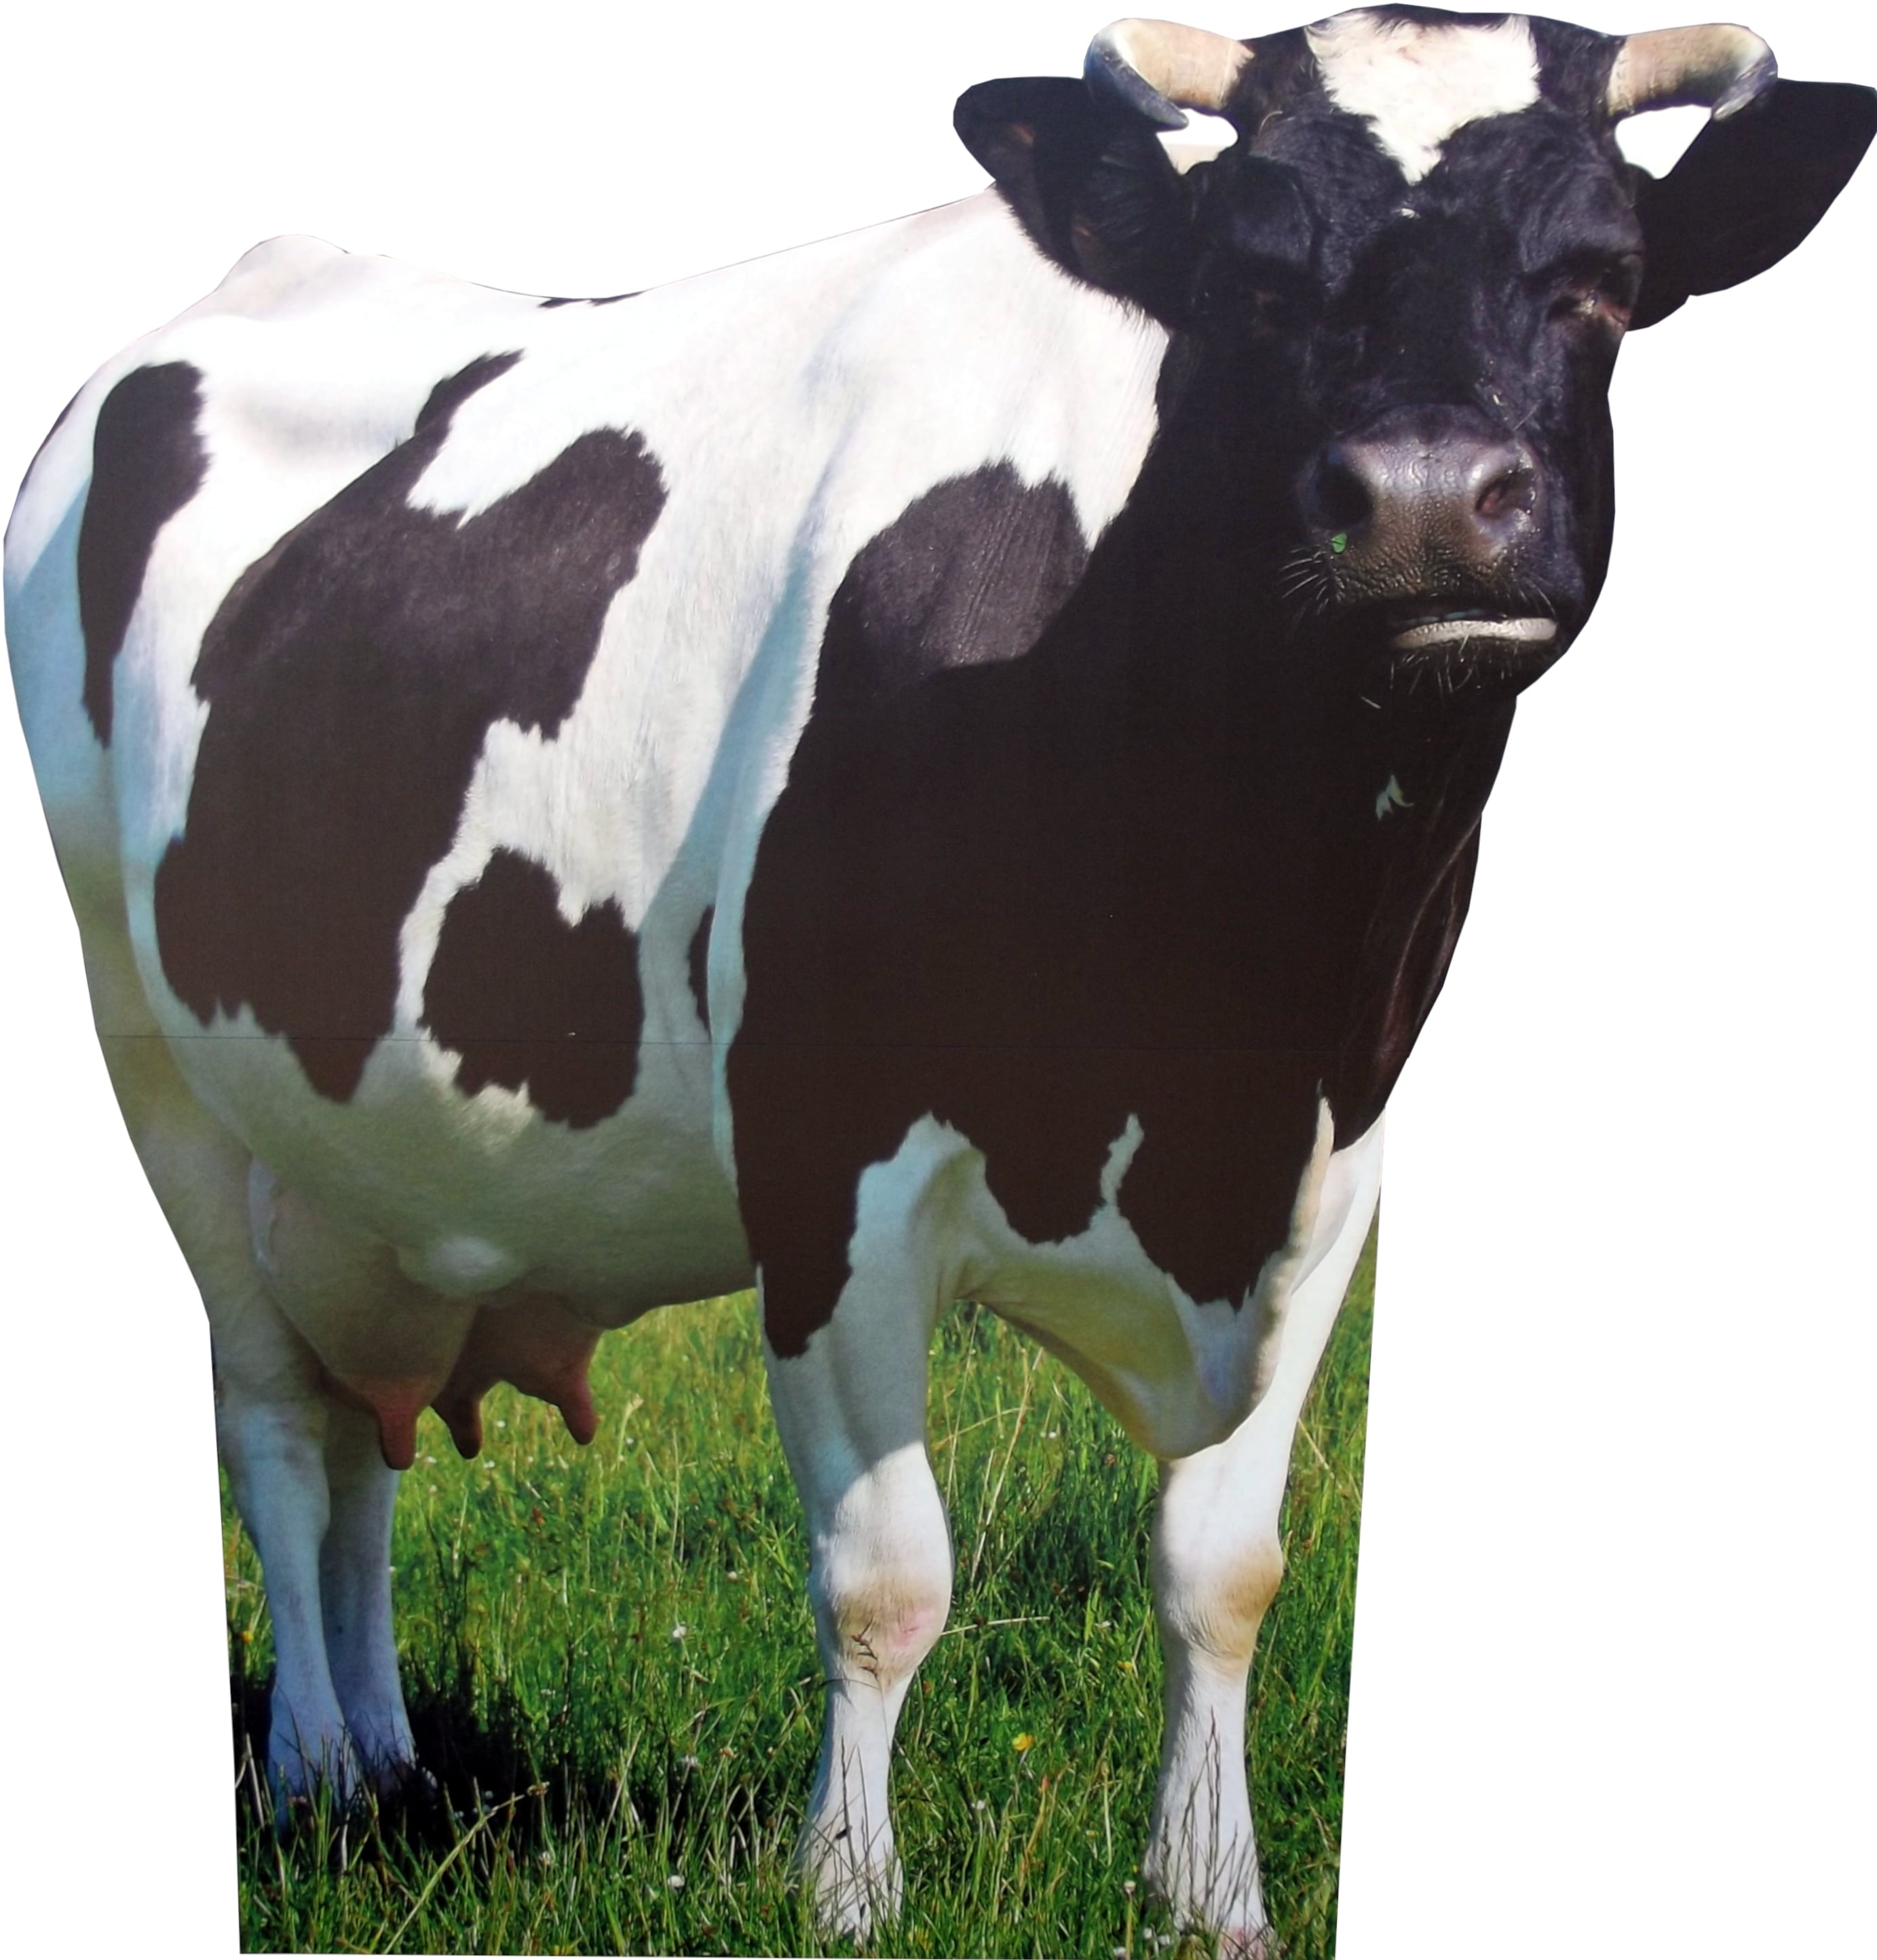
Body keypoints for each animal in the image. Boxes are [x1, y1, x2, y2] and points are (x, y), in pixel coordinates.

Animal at [5, 7, 1872, 1952]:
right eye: (1254, 276)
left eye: (1601, 278)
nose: (1429, 500)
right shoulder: (824, 1157)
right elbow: (885, 1573)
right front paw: (846, 1888)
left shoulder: (1335, 1165)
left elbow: (1225, 1567)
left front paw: (1211, 1891)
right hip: (158, 1070)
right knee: (276, 1427)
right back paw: (310, 1765)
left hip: (356, 1152)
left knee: (360, 1429)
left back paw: (385, 1756)